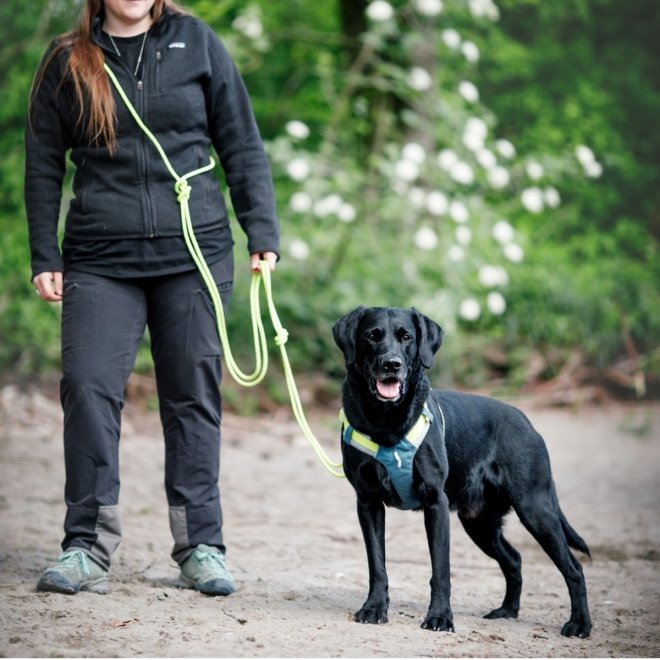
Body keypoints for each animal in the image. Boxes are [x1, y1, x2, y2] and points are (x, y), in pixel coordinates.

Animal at [332, 306, 592, 636]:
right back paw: (507, 611)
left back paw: (579, 624)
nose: (392, 364)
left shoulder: (435, 502)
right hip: (479, 522)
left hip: (536, 510)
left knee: (574, 568)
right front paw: (374, 608)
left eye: (407, 337)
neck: (386, 421)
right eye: (371, 336)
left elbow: (440, 569)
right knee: (514, 559)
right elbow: (377, 564)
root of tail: (525, 421)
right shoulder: (368, 502)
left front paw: (440, 617)